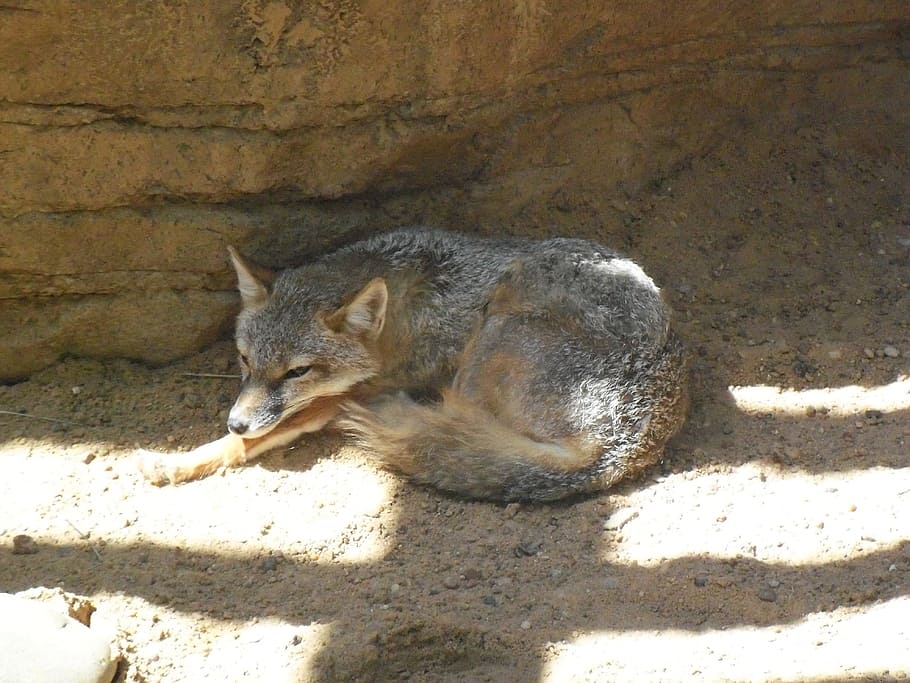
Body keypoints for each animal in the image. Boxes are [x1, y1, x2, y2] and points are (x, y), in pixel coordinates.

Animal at [139, 228, 688, 502]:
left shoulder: (363, 387)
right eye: (244, 359)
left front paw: (183, 458)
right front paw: (194, 453)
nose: (235, 418)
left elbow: (274, 427)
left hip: (490, 338)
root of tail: (626, 442)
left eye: (297, 372)